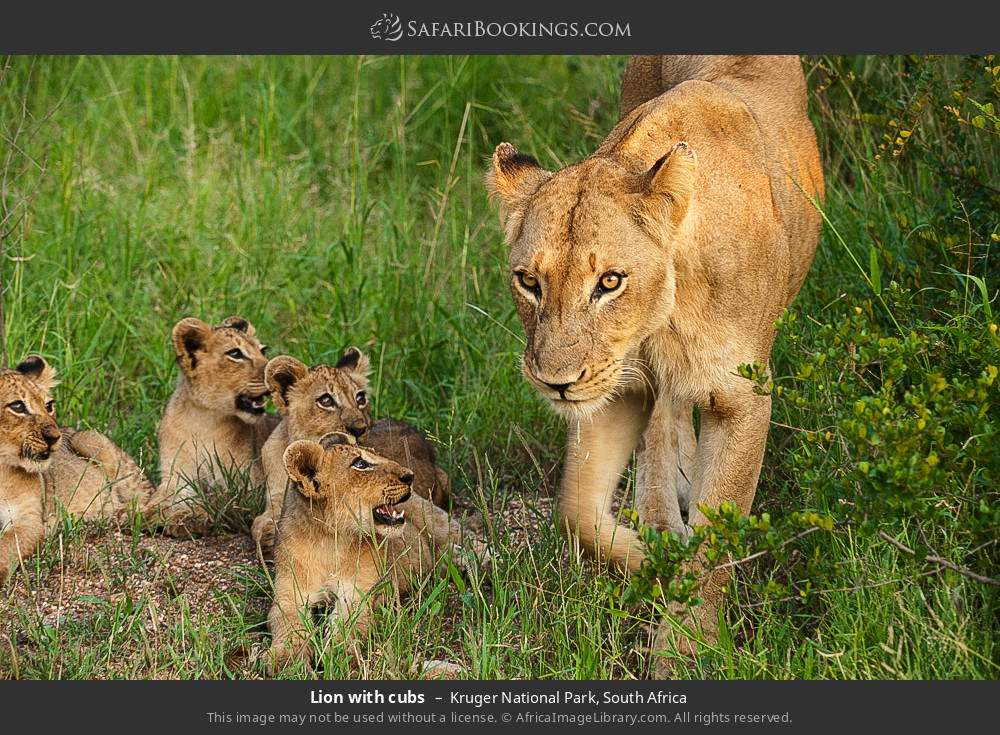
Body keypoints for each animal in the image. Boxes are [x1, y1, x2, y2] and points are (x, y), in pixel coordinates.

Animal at [0, 356, 155, 580]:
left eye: (49, 405)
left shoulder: (30, 520)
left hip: (89, 438)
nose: (54, 437)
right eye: (17, 406)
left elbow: (6, 545)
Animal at [149, 316, 280, 536]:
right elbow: (162, 498)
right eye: (235, 353)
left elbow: (218, 498)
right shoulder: (175, 477)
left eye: (263, 351)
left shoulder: (250, 486)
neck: (202, 421)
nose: (275, 373)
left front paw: (189, 518)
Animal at [250, 348, 457, 554]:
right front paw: (268, 537)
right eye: (326, 400)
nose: (359, 428)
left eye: (360, 398)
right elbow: (259, 522)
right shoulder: (276, 497)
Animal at [267, 433, 463, 675]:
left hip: (434, 519)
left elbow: (347, 625)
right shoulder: (289, 596)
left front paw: (340, 657)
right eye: (360, 464)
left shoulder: (359, 595)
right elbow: (288, 625)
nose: (409, 476)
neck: (330, 541)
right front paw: (287, 661)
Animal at [487, 55, 823, 671]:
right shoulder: (617, 386)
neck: (663, 314)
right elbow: (575, 514)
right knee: (665, 424)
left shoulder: (742, 398)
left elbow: (716, 539)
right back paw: (665, 515)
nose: (555, 383)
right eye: (529, 281)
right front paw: (653, 564)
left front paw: (685, 650)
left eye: (609, 282)